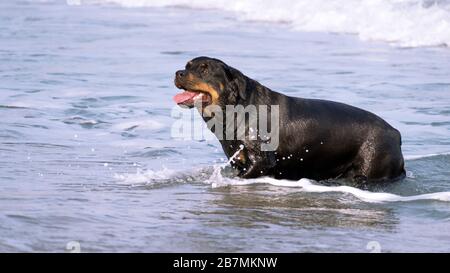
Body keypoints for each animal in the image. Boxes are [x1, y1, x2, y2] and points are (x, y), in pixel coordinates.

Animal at [172, 56, 404, 182]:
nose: (178, 72)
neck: (234, 110)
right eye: (187, 65)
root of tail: (395, 133)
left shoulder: (261, 161)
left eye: (204, 69)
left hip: (372, 164)